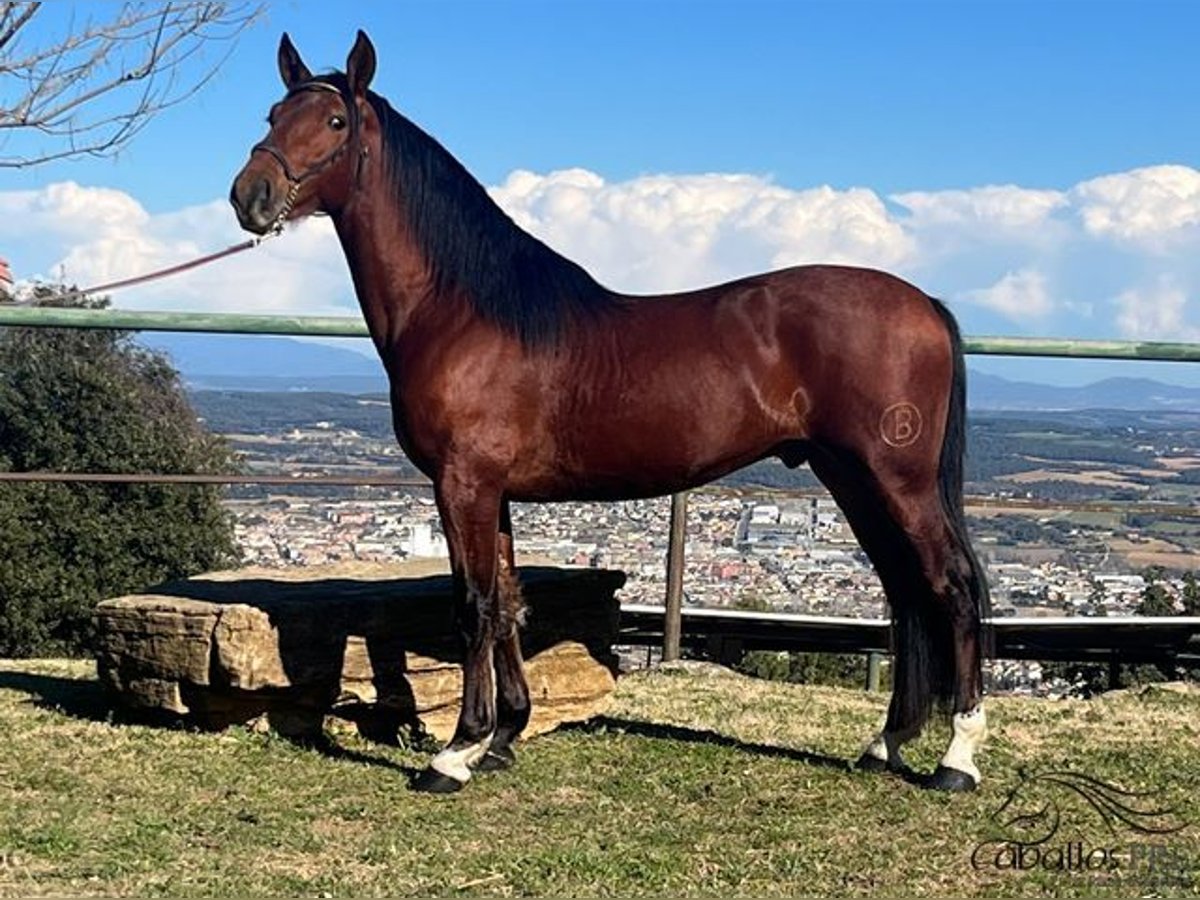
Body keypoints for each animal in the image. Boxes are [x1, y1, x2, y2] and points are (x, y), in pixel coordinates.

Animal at [229, 31, 988, 796]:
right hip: (852, 479)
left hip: (897, 481)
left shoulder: (462, 483)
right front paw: (504, 737)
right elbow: (508, 601)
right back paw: (886, 742)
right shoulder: (493, 492)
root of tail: (925, 304)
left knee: (951, 587)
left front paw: (456, 753)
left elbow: (473, 605)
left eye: (335, 123)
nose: (249, 196)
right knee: (904, 592)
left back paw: (956, 759)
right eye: (271, 114)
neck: (462, 310)